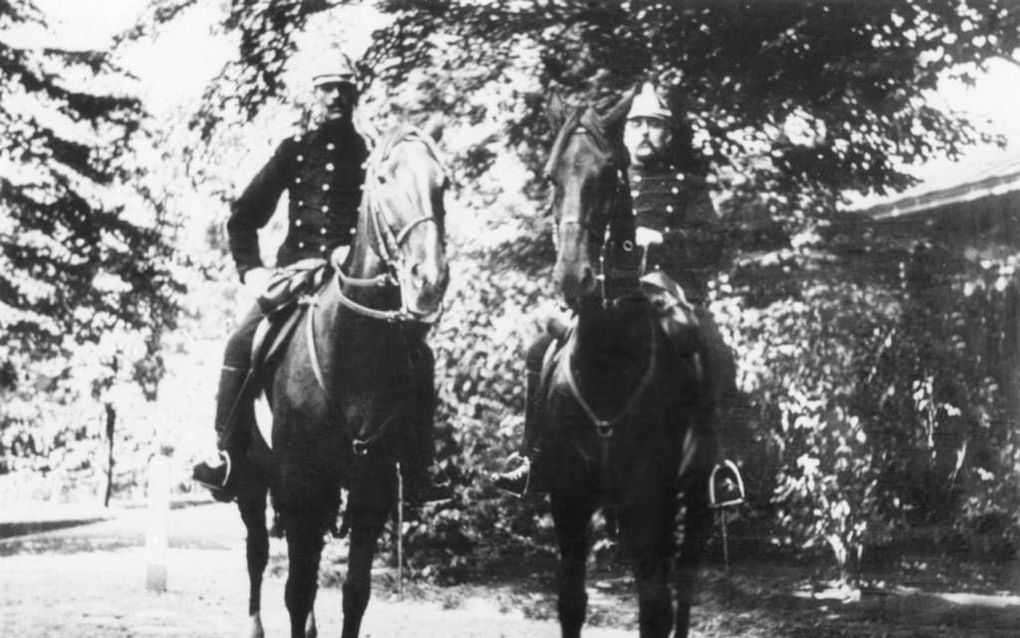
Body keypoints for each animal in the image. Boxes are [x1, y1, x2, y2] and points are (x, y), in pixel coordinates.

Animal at [238, 125, 450, 636]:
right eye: (384, 178)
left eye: (444, 184)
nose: (429, 280)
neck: (352, 350)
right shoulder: (299, 491)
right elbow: (296, 592)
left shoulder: (370, 493)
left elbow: (354, 593)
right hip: (251, 483)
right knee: (256, 554)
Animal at [542, 93, 709, 636]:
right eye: (552, 177)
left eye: (607, 174)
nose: (572, 277)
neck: (609, 365)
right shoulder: (569, 504)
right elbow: (571, 603)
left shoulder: (650, 508)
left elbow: (654, 610)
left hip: (695, 501)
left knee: (684, 588)